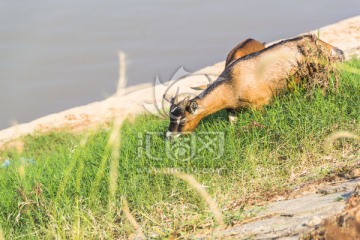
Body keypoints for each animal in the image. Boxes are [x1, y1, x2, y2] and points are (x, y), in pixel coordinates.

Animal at [163, 33, 344, 139]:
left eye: (182, 120)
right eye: (171, 118)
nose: (169, 136)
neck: (231, 85)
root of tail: (319, 42)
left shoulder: (260, 105)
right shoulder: (232, 111)